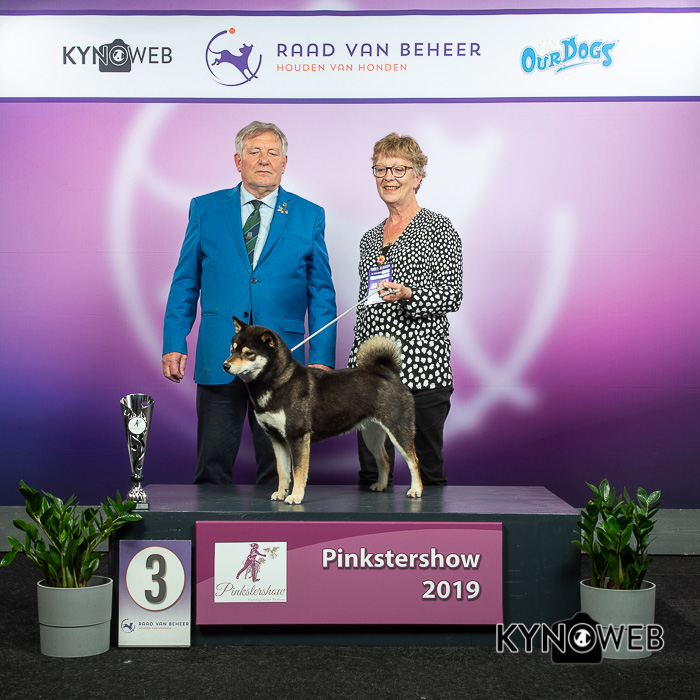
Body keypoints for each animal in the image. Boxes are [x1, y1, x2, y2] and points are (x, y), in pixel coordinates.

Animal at [223, 317, 422, 505]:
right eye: (232, 349)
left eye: (248, 353)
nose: (225, 365)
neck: (277, 381)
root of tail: (390, 374)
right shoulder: (277, 439)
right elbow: (283, 472)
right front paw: (281, 493)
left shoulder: (298, 437)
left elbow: (297, 472)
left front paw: (295, 497)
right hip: (371, 436)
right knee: (385, 460)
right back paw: (380, 485)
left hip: (398, 431)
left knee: (414, 461)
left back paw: (416, 490)